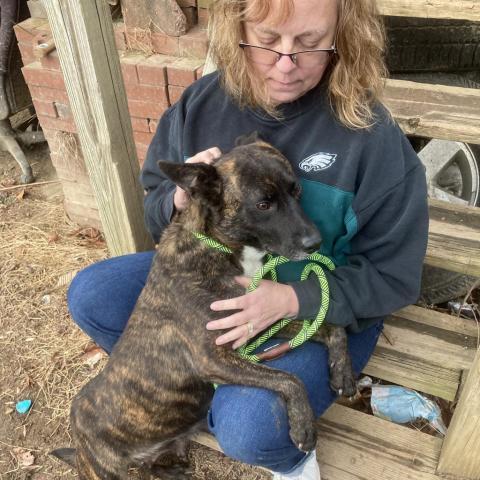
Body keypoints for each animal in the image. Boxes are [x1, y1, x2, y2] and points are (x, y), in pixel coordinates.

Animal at [52, 136, 356, 480]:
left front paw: (342, 372)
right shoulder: (214, 357)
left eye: (297, 191)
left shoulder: (258, 321)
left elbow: (330, 326)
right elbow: (289, 379)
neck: (220, 249)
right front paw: (304, 425)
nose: (315, 243)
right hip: (103, 469)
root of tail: (78, 443)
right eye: (263, 204)